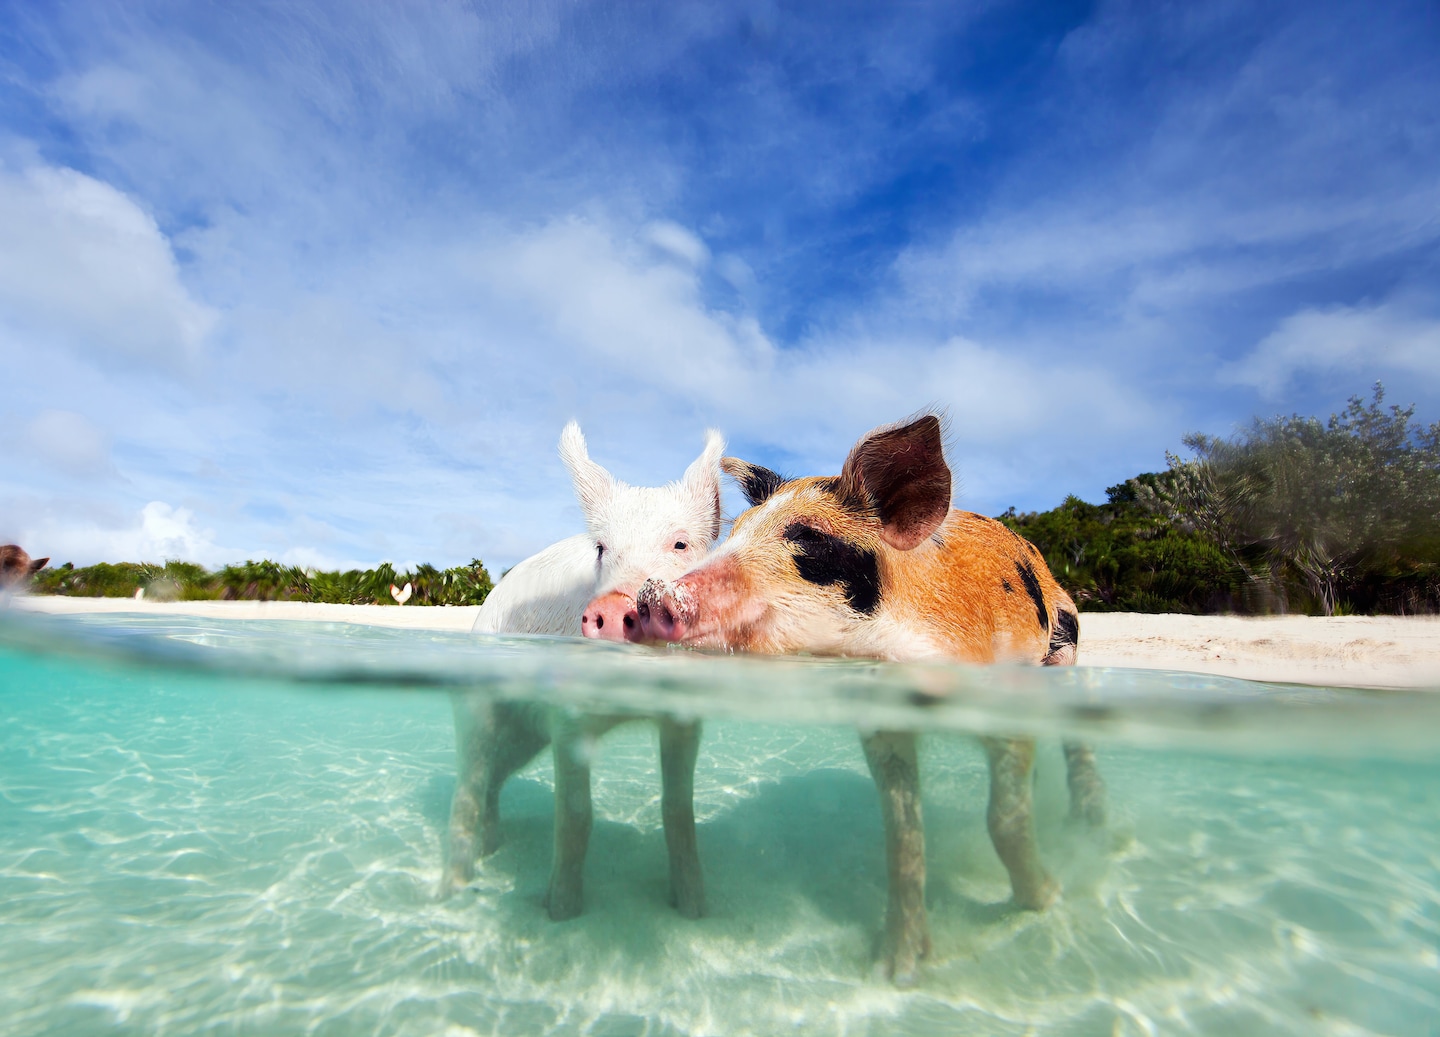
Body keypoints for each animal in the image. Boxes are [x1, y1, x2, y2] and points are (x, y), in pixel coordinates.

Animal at [443, 421, 723, 922]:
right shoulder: (568, 716)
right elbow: (575, 814)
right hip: (477, 702)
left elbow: (677, 810)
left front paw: (695, 910)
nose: (611, 607)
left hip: (525, 736)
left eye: (680, 543)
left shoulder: (684, 717)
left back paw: (493, 847)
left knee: (494, 778)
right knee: (469, 785)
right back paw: (451, 893)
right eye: (601, 549)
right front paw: (560, 912)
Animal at [633, 414, 1106, 984]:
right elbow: (903, 836)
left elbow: (1004, 819)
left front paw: (1044, 901)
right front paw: (897, 970)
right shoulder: (883, 725)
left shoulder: (1004, 697)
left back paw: (1090, 826)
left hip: (1066, 649)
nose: (651, 597)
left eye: (810, 539)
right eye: (736, 530)